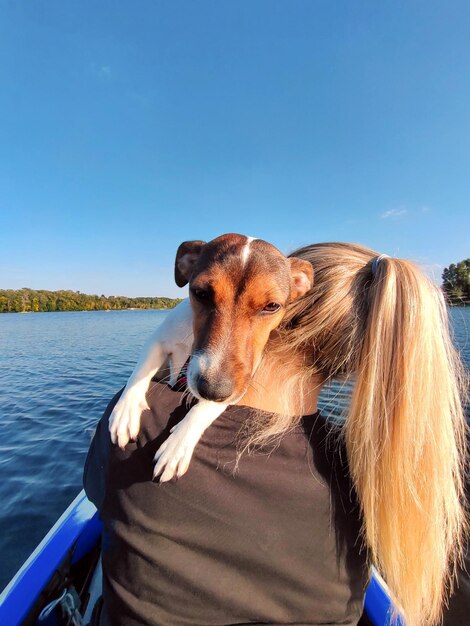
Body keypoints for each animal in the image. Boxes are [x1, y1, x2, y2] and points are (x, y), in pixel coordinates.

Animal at [107, 232, 312, 480]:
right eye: (201, 293)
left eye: (272, 306)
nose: (214, 390)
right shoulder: (158, 341)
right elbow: (140, 372)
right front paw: (125, 411)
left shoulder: (244, 381)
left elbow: (206, 408)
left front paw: (178, 444)